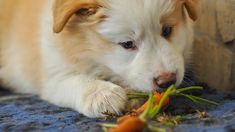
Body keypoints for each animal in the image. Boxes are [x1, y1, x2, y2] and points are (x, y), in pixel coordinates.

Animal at [0, 0, 198, 117]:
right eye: (127, 43)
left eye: (167, 30)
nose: (168, 81)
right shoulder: (53, 76)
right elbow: (75, 80)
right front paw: (104, 94)